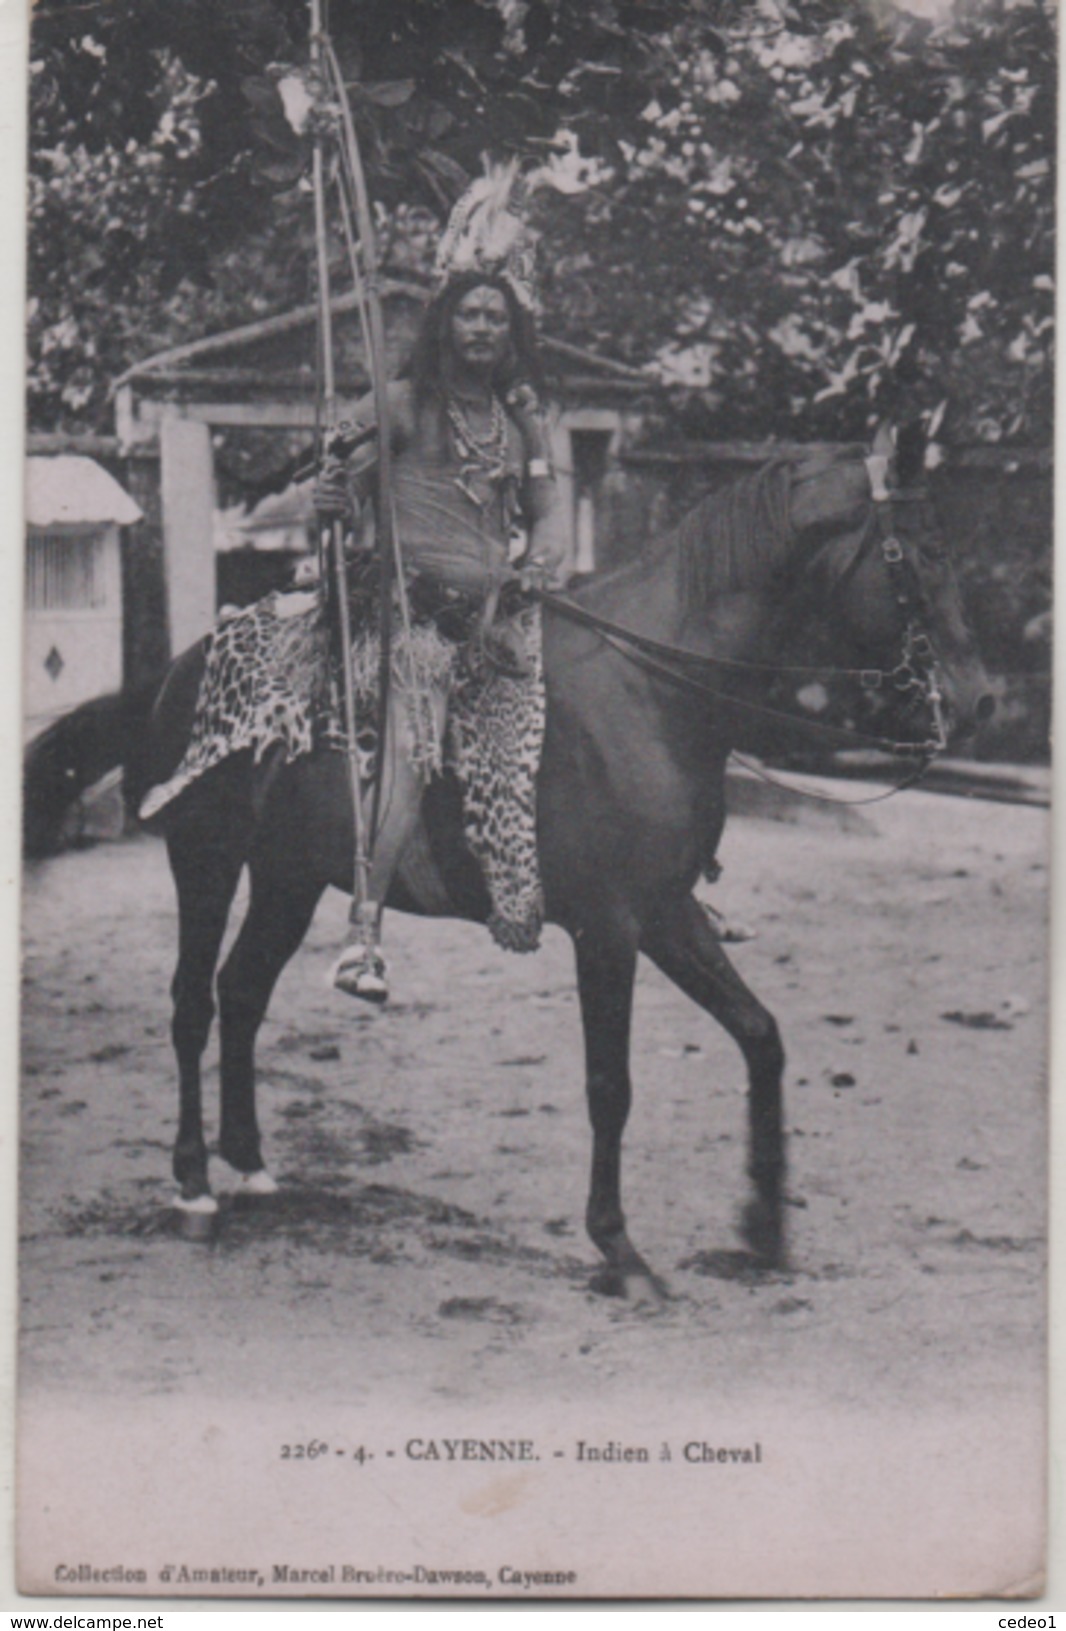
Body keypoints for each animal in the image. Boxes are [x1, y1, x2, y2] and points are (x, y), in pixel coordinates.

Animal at [23, 430, 991, 1298]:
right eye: (924, 552)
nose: (981, 699)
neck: (652, 692)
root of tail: (169, 674)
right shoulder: (609, 930)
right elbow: (611, 1083)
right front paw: (618, 1247)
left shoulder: (667, 914)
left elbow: (760, 1035)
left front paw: (762, 1226)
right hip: (206, 861)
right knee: (191, 1003)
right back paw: (192, 1183)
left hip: (290, 879)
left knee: (242, 991)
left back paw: (253, 1162)